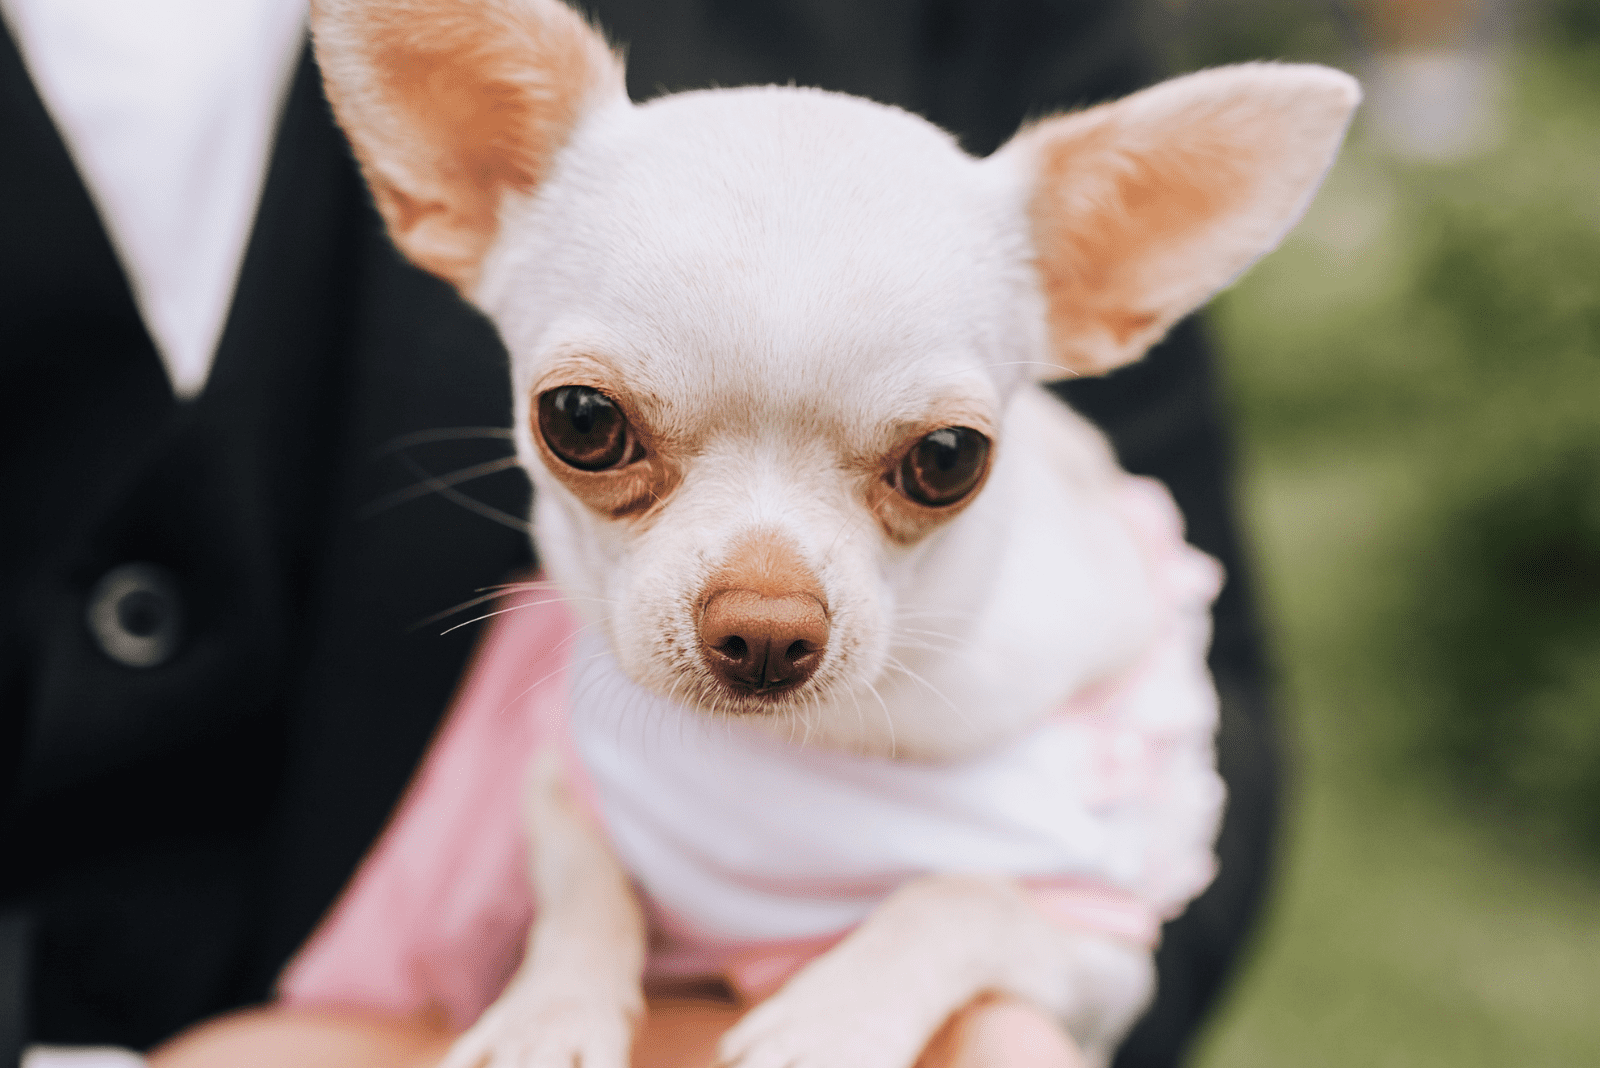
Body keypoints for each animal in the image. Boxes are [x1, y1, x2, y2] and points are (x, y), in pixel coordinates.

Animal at [305, 2, 1356, 1068]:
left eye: (948, 458)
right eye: (582, 421)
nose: (767, 631)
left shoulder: (1106, 950)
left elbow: (964, 893)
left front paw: (837, 1018)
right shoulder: (562, 786)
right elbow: (584, 877)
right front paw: (546, 1015)